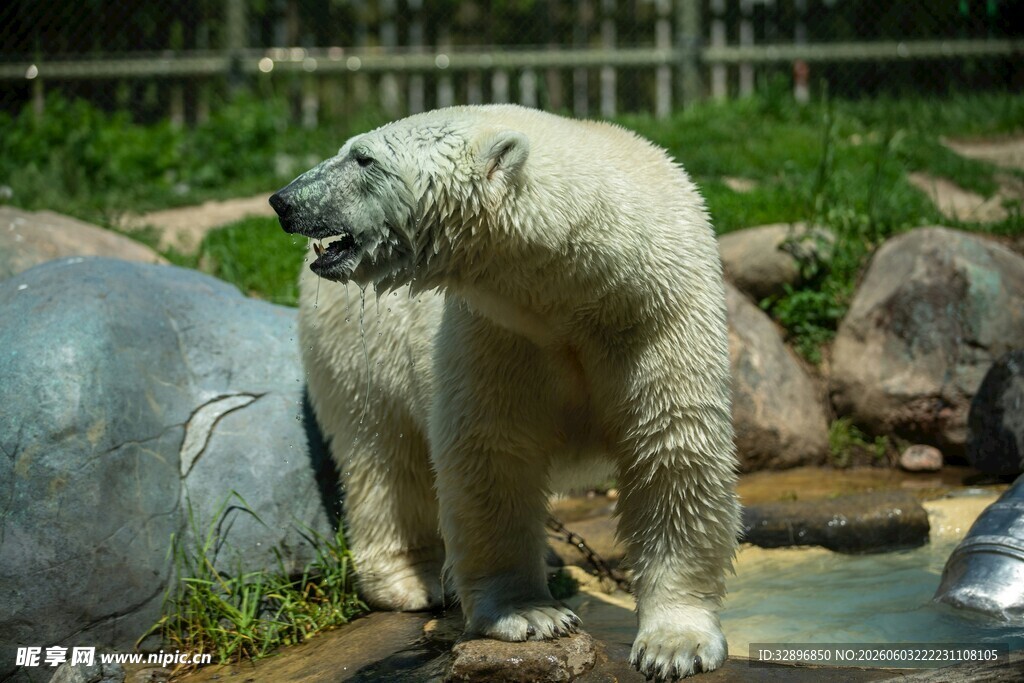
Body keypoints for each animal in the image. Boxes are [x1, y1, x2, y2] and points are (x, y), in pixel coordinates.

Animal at [270, 105, 740, 681]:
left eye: (363, 158)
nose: (284, 201)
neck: (583, 288)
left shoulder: (659, 316)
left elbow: (674, 451)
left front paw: (676, 645)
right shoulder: (497, 332)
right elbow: (492, 457)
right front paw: (531, 615)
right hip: (357, 347)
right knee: (383, 455)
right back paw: (412, 580)